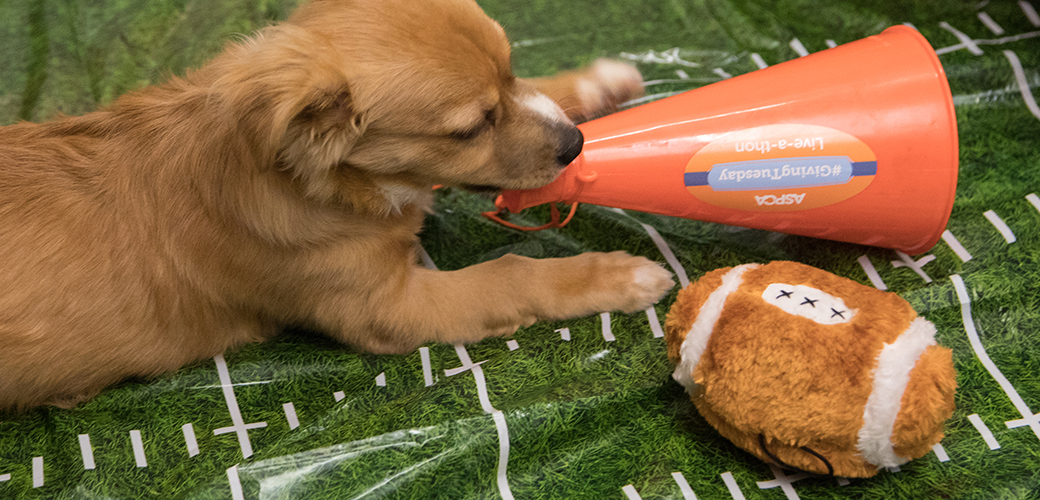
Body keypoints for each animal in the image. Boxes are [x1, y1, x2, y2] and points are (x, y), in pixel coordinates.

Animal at [0, 0, 673, 411]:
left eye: (510, 71)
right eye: (469, 129)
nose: (575, 145)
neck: (334, 189)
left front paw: (594, 82)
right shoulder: (388, 309)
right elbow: (509, 274)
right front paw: (617, 275)